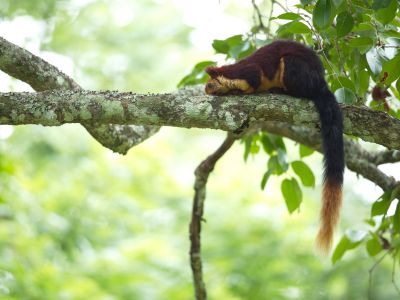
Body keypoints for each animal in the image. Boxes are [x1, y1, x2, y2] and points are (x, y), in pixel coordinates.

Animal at [206, 38, 344, 252]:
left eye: (211, 82)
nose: (205, 90)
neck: (231, 74)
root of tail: (320, 82)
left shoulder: (249, 72)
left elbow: (253, 80)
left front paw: (238, 90)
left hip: (294, 68)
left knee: (301, 90)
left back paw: (281, 90)